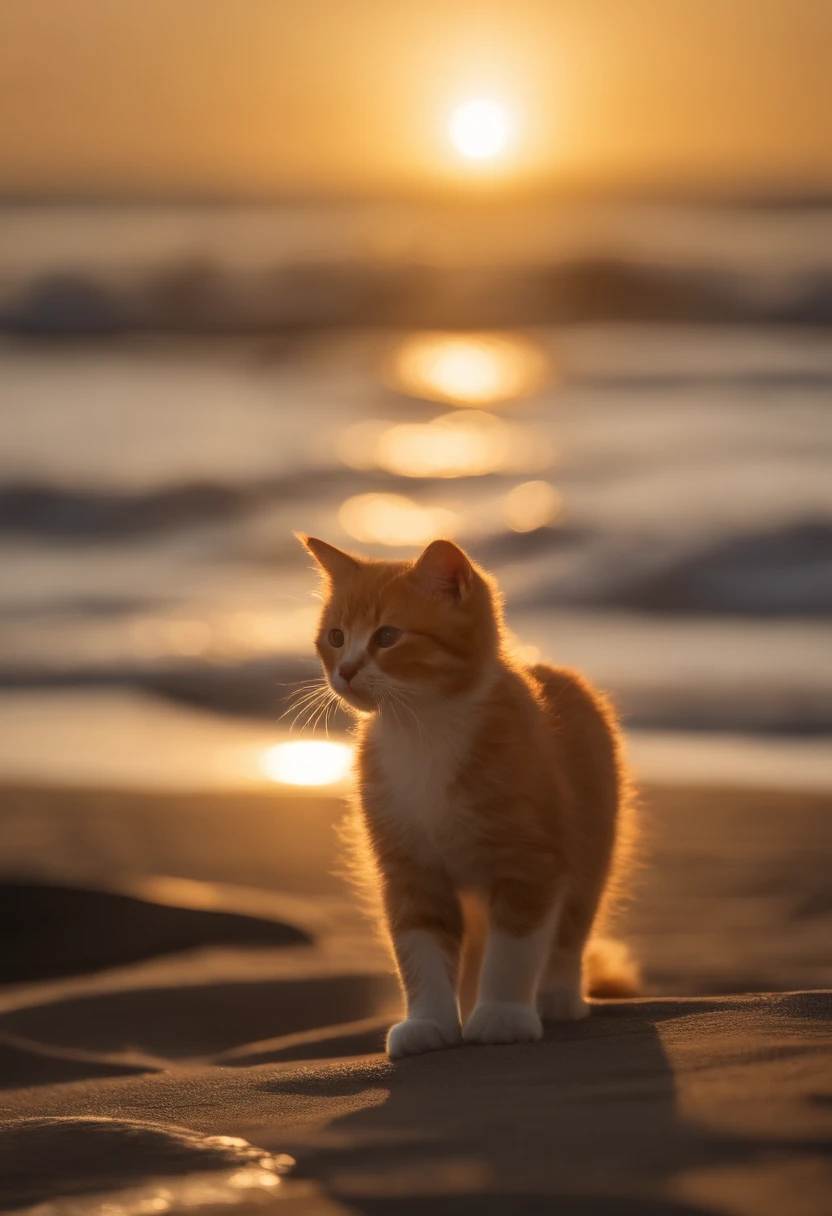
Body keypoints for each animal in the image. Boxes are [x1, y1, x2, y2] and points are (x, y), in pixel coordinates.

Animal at [301, 532, 642, 1055]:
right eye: (335, 637)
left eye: (387, 636)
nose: (347, 670)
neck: (424, 730)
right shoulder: (409, 867)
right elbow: (419, 950)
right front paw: (430, 1022)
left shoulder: (531, 862)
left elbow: (513, 951)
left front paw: (502, 1013)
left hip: (592, 839)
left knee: (572, 925)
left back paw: (558, 995)